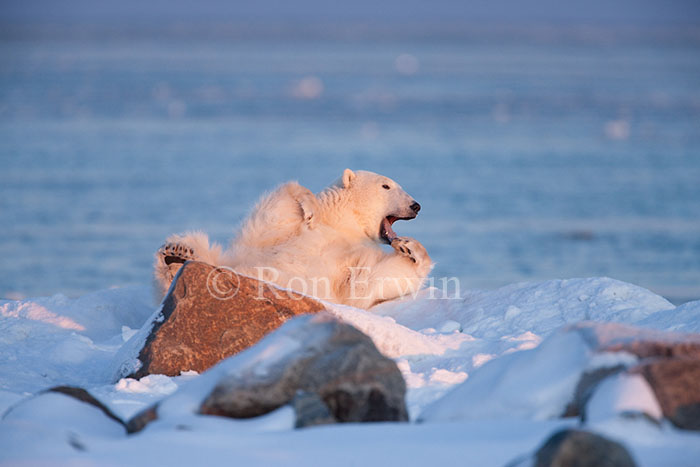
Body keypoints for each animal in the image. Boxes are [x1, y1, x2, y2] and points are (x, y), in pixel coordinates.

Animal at [153, 169, 432, 309]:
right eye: (386, 186)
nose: (416, 205)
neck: (338, 225)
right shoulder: (278, 234)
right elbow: (277, 208)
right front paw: (309, 207)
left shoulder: (347, 263)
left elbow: (366, 282)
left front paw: (409, 247)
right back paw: (176, 253)